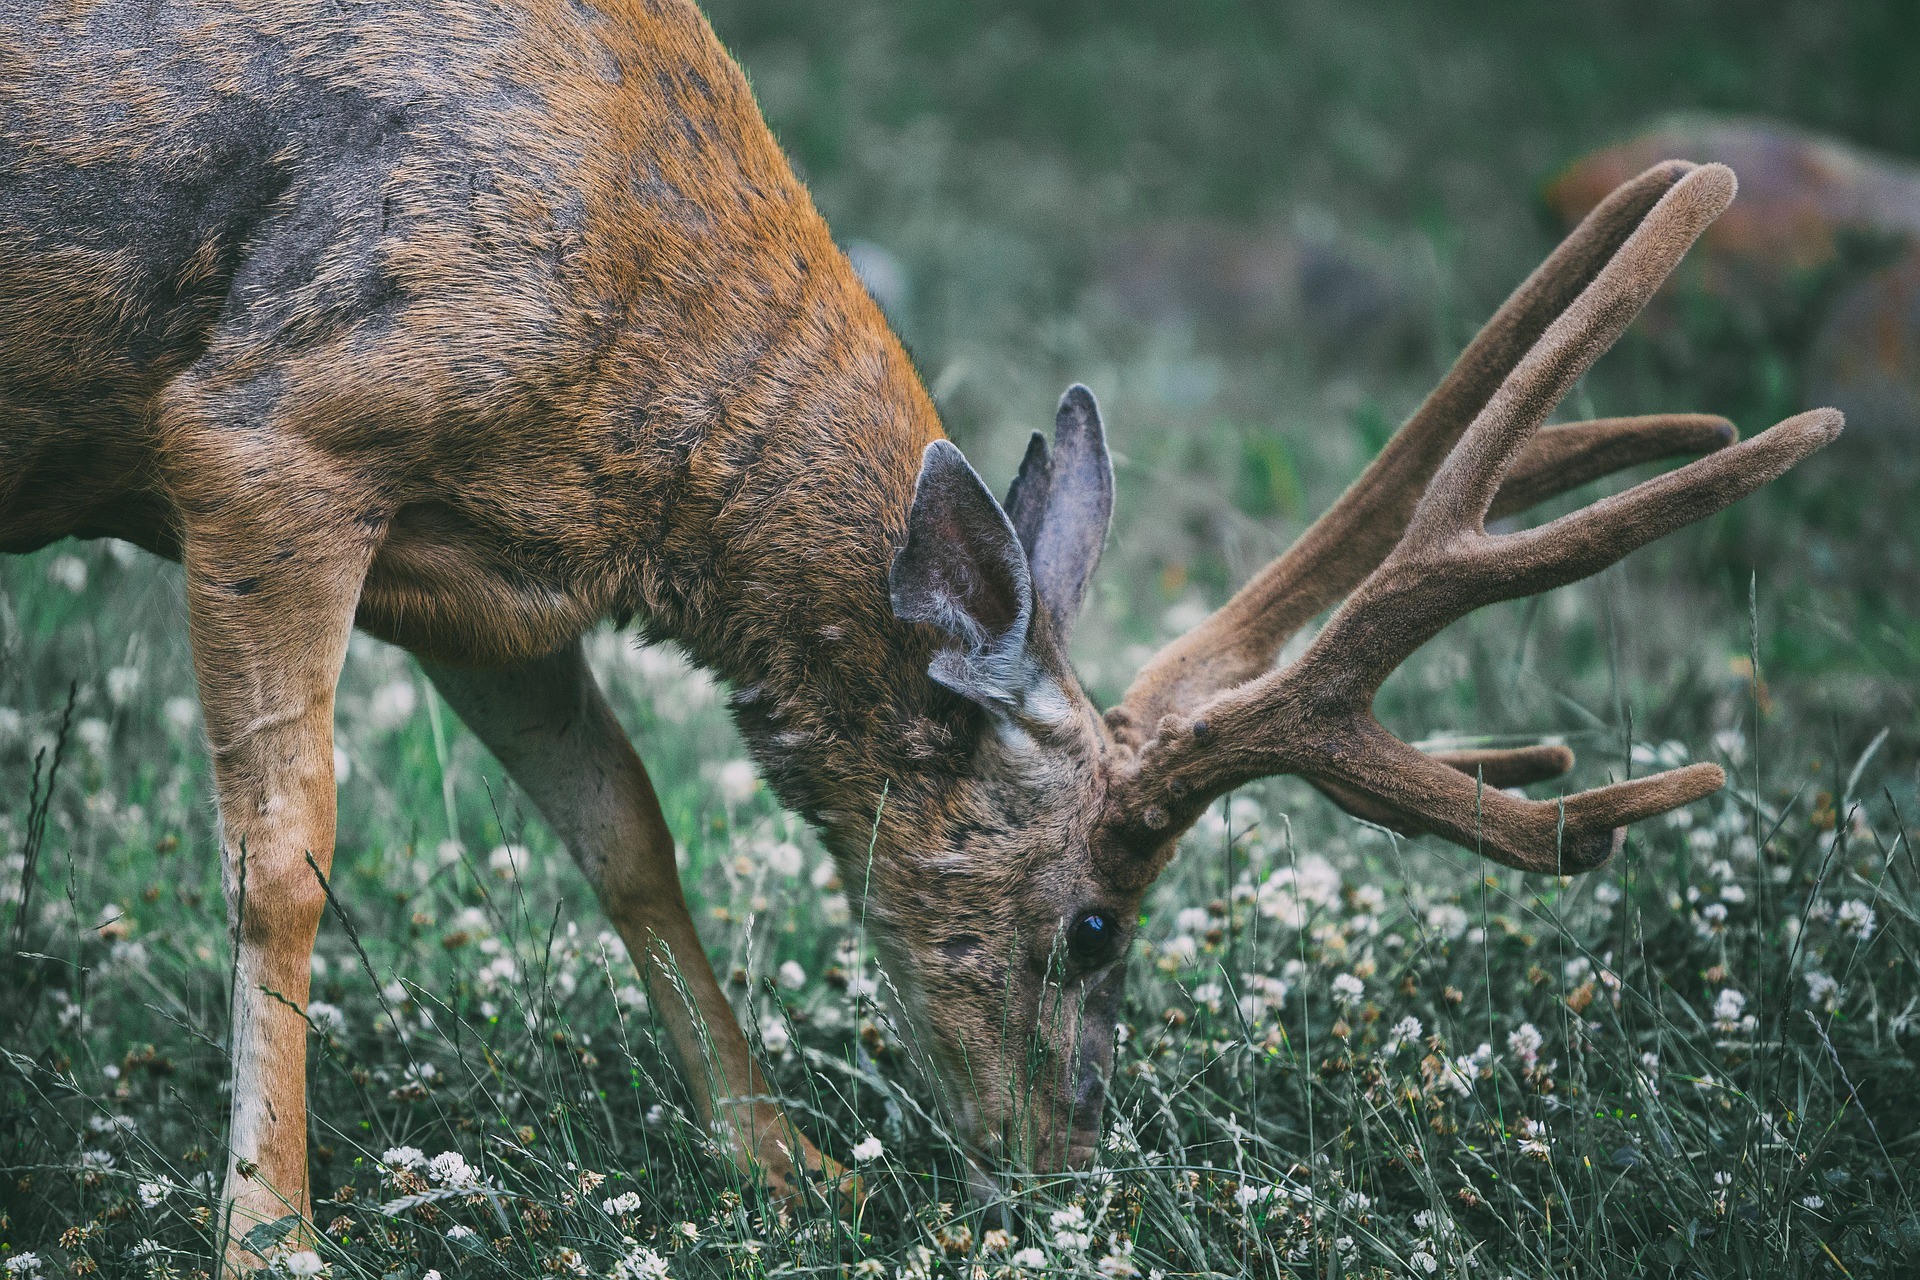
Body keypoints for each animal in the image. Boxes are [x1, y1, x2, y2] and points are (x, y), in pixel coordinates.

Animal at [0, 0, 1841, 1268]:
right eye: (1094, 927)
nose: (1065, 1170)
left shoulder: (482, 577)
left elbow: (624, 829)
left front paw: (784, 1168)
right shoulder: (270, 431)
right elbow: (283, 858)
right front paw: (270, 1233)